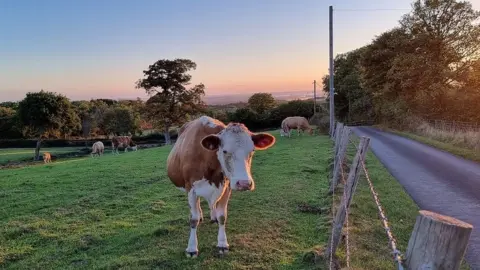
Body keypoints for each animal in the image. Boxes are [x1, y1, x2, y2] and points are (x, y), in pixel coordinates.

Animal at [167, 114, 276, 258]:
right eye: (224, 151)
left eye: (252, 151)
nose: (244, 183)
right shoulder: (191, 189)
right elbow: (193, 219)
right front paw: (192, 248)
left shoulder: (226, 187)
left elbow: (222, 216)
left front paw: (222, 244)